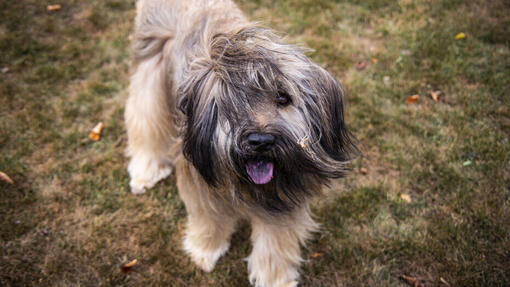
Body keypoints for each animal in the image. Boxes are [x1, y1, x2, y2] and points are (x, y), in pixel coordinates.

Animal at [125, 0, 356, 286]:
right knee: (145, 119)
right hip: (150, 62)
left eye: (283, 98)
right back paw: (146, 169)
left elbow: (275, 242)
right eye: (235, 101)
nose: (261, 142)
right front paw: (205, 250)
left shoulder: (283, 195)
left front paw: (274, 278)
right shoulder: (199, 177)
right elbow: (208, 218)